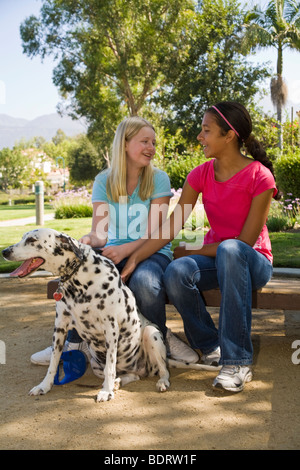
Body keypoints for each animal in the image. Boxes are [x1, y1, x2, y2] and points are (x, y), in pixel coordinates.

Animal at [2, 229, 213, 402]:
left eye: (32, 240)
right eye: (23, 237)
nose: (5, 251)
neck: (78, 279)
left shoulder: (111, 328)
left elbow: (110, 366)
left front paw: (106, 391)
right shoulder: (60, 327)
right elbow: (53, 362)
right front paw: (44, 386)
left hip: (151, 334)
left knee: (162, 370)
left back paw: (159, 381)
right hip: (95, 362)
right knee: (133, 376)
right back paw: (119, 381)